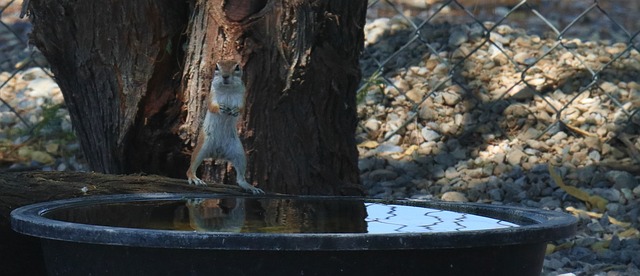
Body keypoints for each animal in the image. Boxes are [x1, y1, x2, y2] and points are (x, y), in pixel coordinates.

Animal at [186, 60, 264, 194]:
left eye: (237, 67)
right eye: (216, 67)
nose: (225, 76)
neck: (227, 89)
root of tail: (217, 154)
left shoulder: (242, 96)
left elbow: (242, 109)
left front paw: (235, 110)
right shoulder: (212, 95)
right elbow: (212, 106)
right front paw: (220, 108)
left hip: (239, 154)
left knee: (240, 178)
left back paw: (249, 186)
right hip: (202, 147)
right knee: (190, 168)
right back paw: (194, 178)